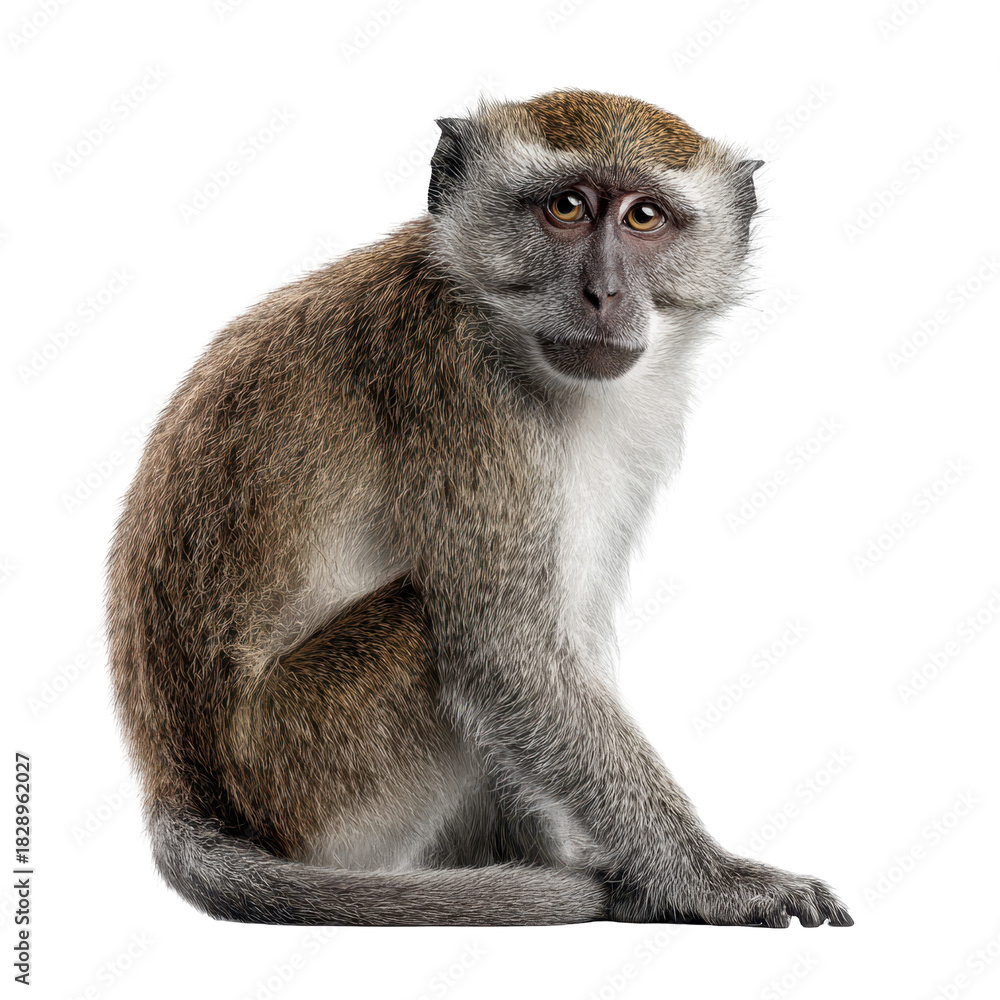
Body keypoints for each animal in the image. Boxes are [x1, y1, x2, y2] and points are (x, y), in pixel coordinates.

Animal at [106, 89, 853, 928]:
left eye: (644, 217)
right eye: (566, 207)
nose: (604, 294)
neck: (497, 318)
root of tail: (180, 791)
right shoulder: (455, 385)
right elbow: (508, 652)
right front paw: (706, 879)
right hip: (306, 779)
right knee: (427, 622)